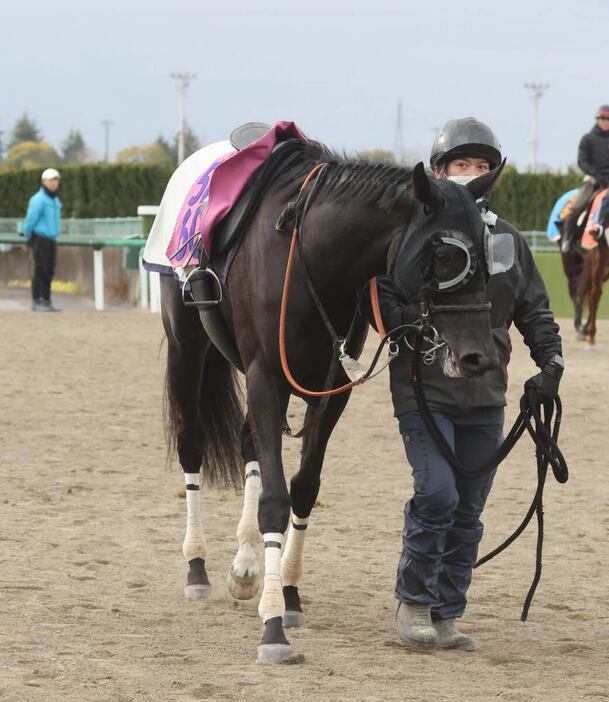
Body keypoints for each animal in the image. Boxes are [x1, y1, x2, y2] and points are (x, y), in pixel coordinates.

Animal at [160, 143, 504, 664]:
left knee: (246, 444)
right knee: (192, 444)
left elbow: (303, 488)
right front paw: (273, 628)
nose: (477, 357)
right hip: (188, 348)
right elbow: (276, 499)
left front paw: (288, 596)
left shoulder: (332, 386)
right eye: (446, 255)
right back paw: (197, 565)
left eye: (487, 255)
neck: (313, 262)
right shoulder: (265, 377)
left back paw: (244, 565)